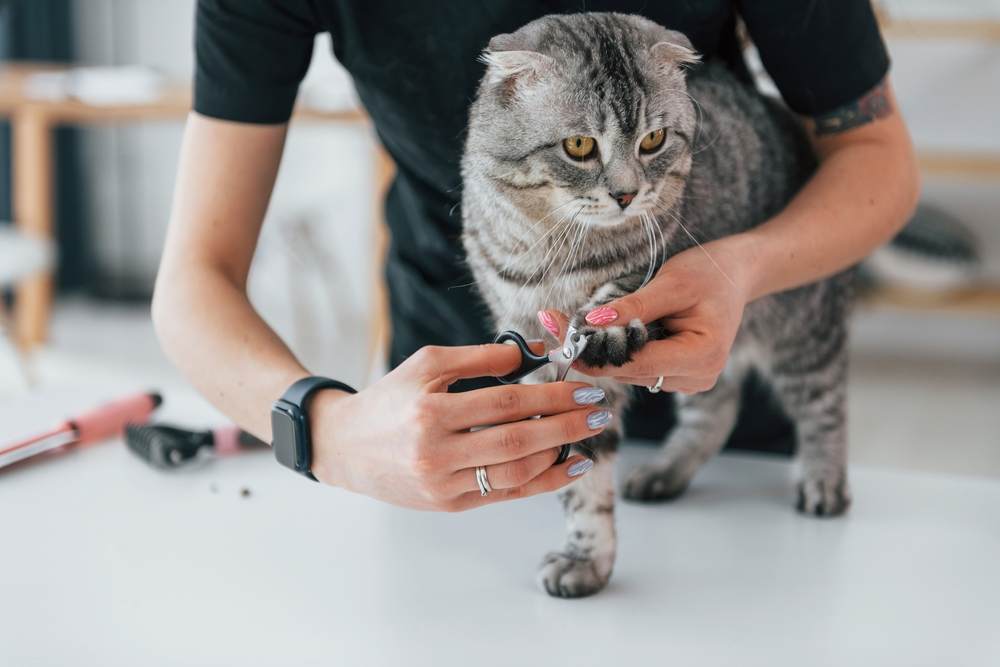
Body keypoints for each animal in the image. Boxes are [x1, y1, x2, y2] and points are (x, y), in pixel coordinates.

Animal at [460, 11, 852, 600]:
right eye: (579, 145)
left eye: (654, 140)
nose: (625, 194)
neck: (548, 249)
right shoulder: (535, 344)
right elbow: (584, 476)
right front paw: (586, 556)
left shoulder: (652, 271)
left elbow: (616, 301)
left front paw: (604, 327)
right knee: (716, 409)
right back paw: (666, 472)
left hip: (805, 327)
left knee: (824, 403)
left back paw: (824, 481)